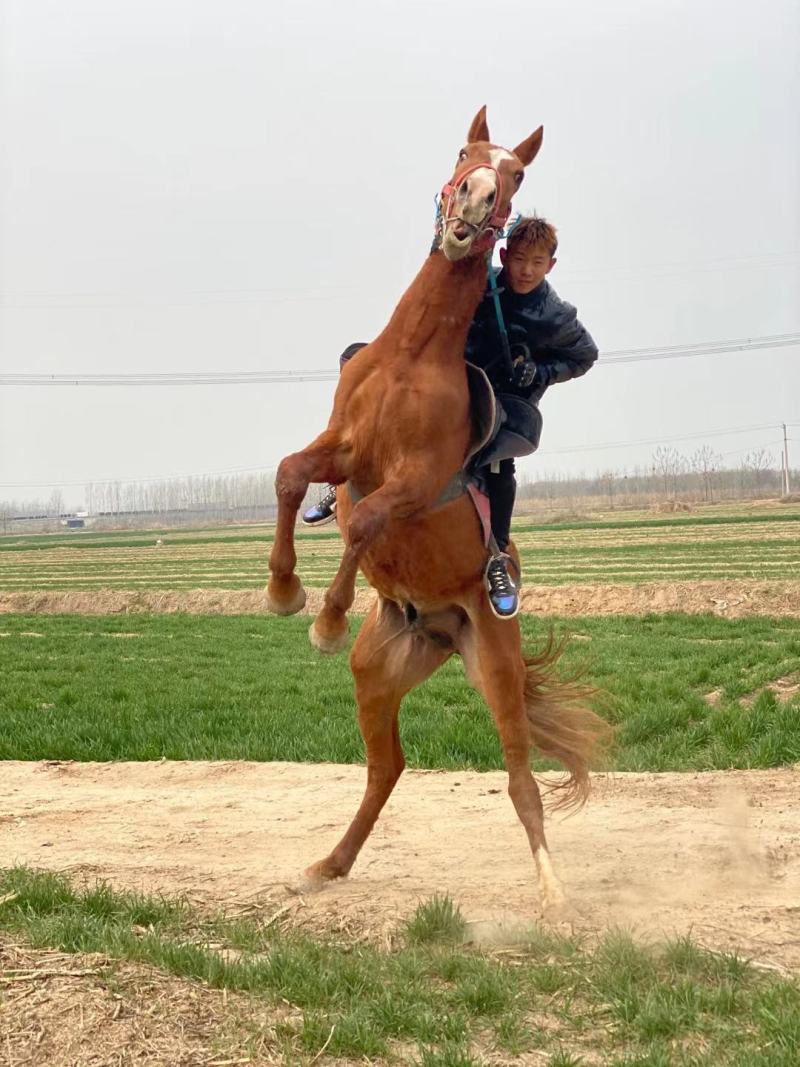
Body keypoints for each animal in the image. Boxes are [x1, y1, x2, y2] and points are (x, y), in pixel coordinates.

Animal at [266, 108, 610, 914]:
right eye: (464, 151)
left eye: (517, 171)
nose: (477, 198)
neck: (411, 358)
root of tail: (444, 629)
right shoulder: (344, 451)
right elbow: (292, 475)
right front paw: (285, 589)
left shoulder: (413, 480)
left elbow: (366, 521)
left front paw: (326, 617)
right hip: (379, 669)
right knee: (386, 768)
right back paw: (328, 864)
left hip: (498, 669)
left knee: (521, 781)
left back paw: (552, 892)